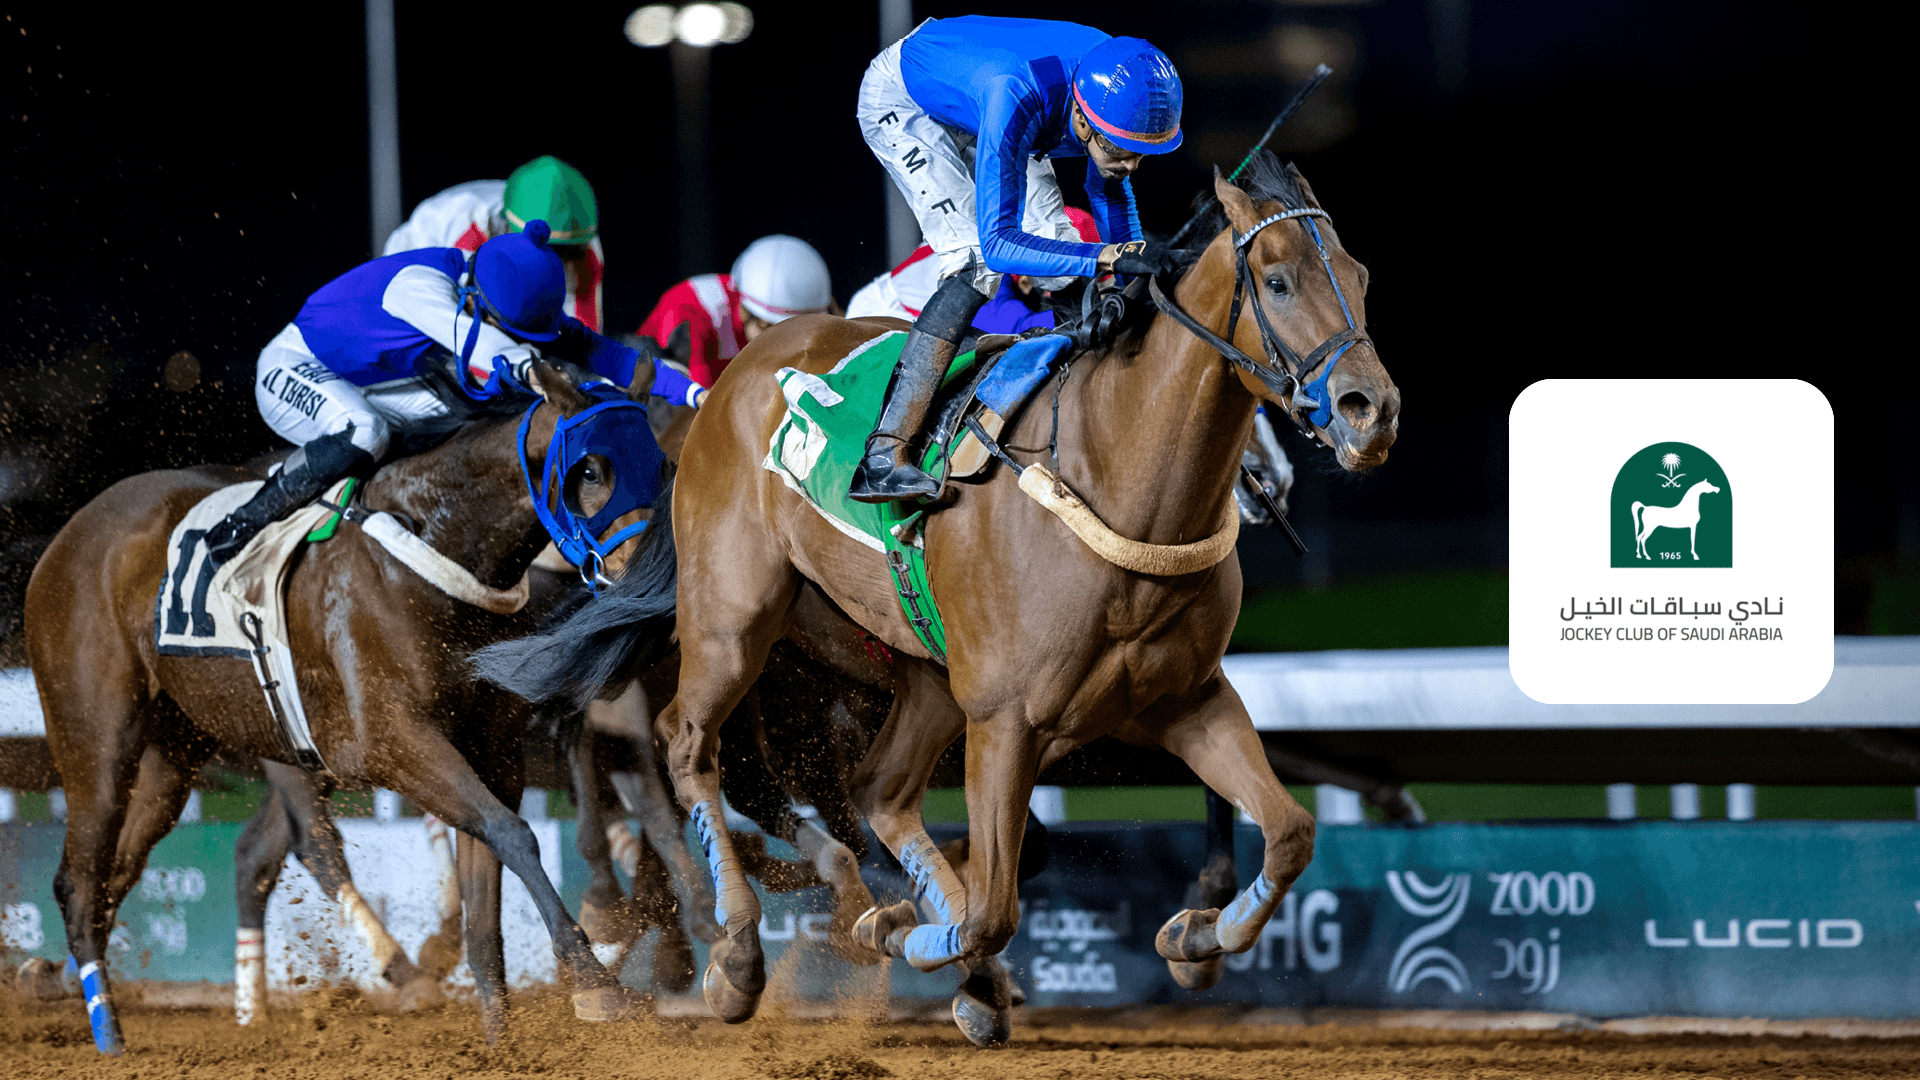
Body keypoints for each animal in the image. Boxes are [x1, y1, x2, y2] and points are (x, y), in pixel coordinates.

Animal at [22, 360, 668, 1053]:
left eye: (661, 463)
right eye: (592, 469)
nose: (647, 578)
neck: (438, 547)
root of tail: (67, 536)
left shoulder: (492, 751)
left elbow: (489, 881)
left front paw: (503, 1039)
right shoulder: (387, 741)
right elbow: (514, 834)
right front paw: (596, 985)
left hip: (175, 751)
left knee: (123, 871)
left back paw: (64, 980)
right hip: (97, 739)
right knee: (84, 879)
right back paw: (108, 1032)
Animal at [486, 151, 1399, 1046]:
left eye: (1359, 275)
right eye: (1276, 281)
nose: (1372, 410)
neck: (1116, 476)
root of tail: (724, 386)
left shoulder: (1183, 698)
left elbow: (1289, 834)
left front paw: (1195, 936)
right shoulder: (1007, 718)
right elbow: (997, 903)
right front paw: (905, 934)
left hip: (916, 668)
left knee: (879, 791)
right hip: (734, 621)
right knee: (689, 745)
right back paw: (738, 956)